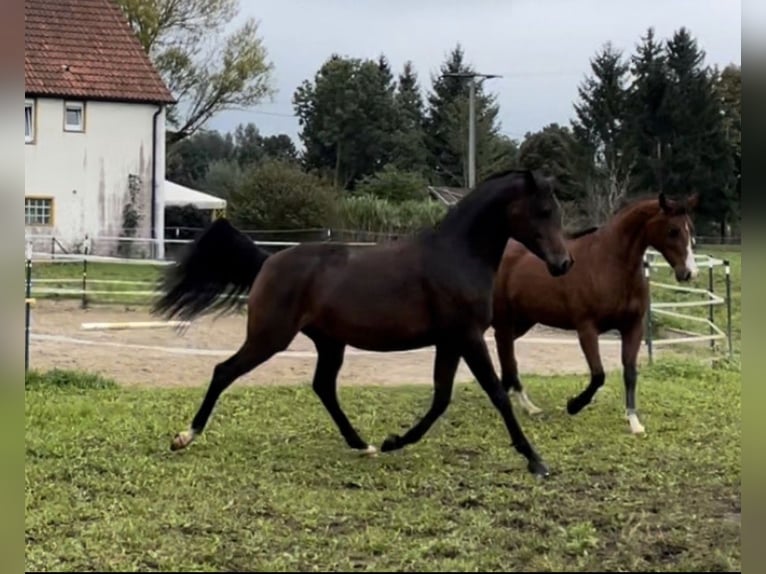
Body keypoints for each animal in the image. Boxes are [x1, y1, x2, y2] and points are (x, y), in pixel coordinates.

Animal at [154, 170, 576, 476]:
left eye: (557, 211)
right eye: (542, 210)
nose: (563, 264)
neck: (457, 255)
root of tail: (268, 261)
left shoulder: (450, 341)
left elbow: (441, 398)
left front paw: (393, 441)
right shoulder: (468, 336)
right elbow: (497, 394)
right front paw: (536, 461)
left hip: (329, 343)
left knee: (323, 387)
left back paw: (363, 444)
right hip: (270, 337)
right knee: (224, 371)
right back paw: (184, 436)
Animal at [492, 191, 704, 434]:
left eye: (691, 229)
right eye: (673, 230)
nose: (690, 273)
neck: (609, 265)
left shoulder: (632, 328)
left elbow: (630, 373)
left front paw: (634, 422)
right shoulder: (586, 329)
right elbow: (598, 375)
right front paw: (573, 405)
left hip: (521, 321)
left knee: (506, 354)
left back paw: (527, 405)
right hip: (504, 319)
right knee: (505, 354)